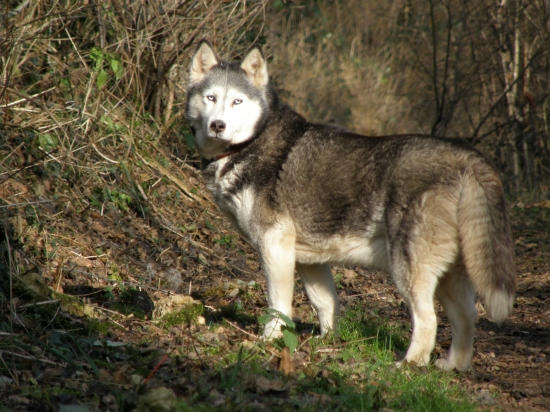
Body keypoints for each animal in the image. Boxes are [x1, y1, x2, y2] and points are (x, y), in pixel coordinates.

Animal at [185, 40, 516, 372]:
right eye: (211, 97)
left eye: (237, 102)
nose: (217, 125)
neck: (250, 143)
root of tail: (467, 157)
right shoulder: (308, 259)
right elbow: (326, 303)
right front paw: (327, 342)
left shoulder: (274, 247)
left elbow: (278, 306)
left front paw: (269, 340)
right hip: (450, 274)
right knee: (467, 317)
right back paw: (453, 366)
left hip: (408, 271)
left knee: (428, 320)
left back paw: (409, 365)